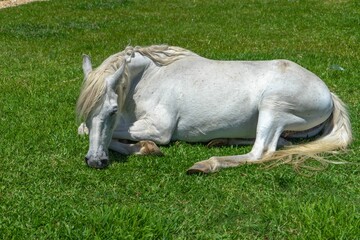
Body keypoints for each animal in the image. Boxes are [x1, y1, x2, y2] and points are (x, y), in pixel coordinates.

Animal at [76, 44, 352, 172]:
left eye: (112, 110)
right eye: (86, 113)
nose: (95, 161)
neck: (151, 76)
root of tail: (328, 92)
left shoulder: (160, 129)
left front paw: (146, 147)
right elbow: (85, 131)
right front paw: (144, 148)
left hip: (272, 108)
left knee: (260, 153)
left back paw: (206, 165)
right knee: (280, 144)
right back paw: (219, 141)